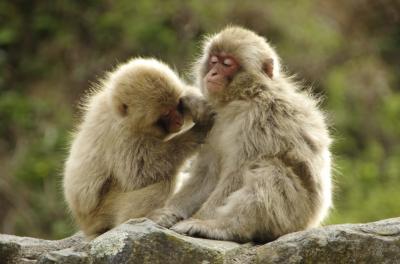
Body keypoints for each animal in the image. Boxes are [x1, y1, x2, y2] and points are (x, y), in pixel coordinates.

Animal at [63, 57, 214, 237]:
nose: (179, 120)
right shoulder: (122, 135)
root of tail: (85, 225)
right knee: (164, 179)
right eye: (166, 114)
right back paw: (146, 217)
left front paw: (194, 100)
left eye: (177, 105)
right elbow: (140, 173)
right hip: (104, 212)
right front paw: (198, 131)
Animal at [148, 27, 332, 243]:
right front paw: (167, 212)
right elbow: (208, 173)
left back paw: (224, 227)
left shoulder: (259, 118)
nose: (213, 72)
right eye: (214, 60)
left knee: (270, 168)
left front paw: (201, 219)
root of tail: (311, 222)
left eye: (227, 64)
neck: (243, 96)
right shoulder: (214, 123)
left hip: (293, 214)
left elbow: (237, 172)